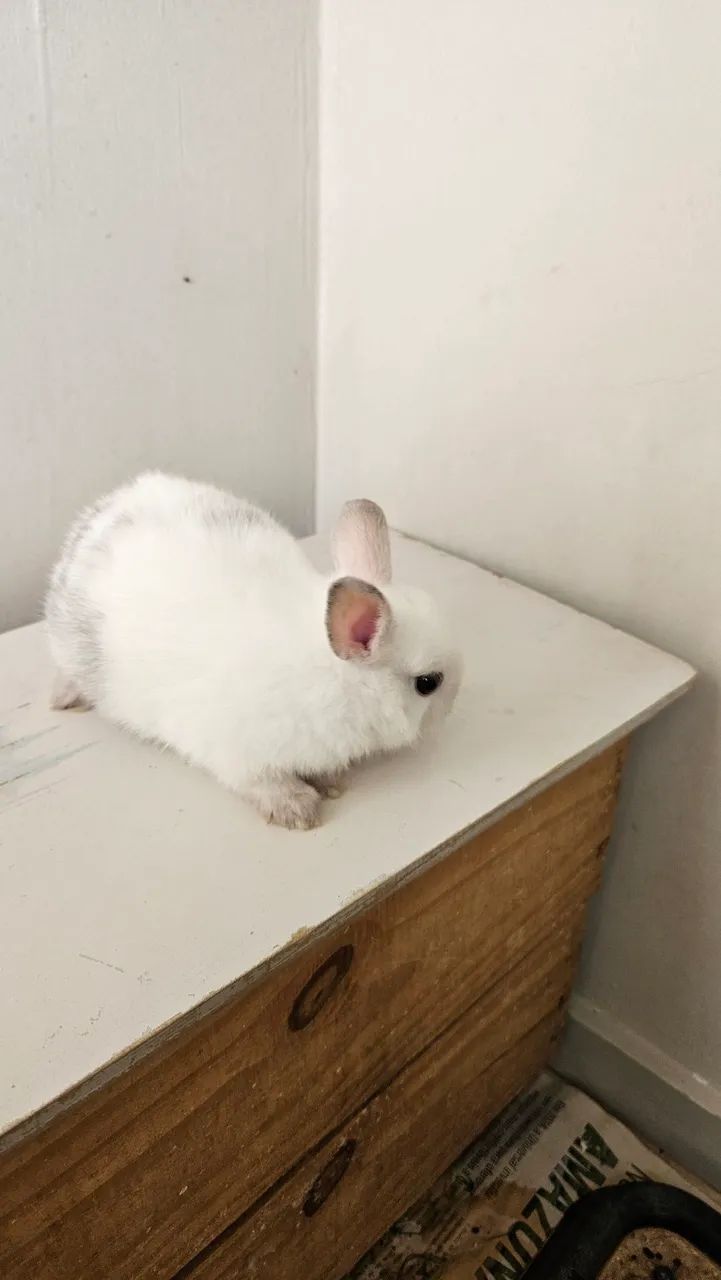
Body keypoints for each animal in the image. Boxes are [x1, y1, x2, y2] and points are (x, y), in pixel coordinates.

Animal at [46, 472, 462, 829]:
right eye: (428, 683)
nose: (450, 711)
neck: (333, 680)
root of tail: (100, 515)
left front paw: (331, 782)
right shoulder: (240, 756)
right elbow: (262, 783)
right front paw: (298, 809)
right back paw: (64, 698)